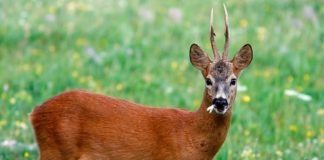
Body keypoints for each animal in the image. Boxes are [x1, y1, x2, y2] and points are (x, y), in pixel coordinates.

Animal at [30, 5, 253, 160]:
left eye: (233, 80)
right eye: (208, 80)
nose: (220, 102)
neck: (192, 136)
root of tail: (35, 112)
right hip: (55, 150)